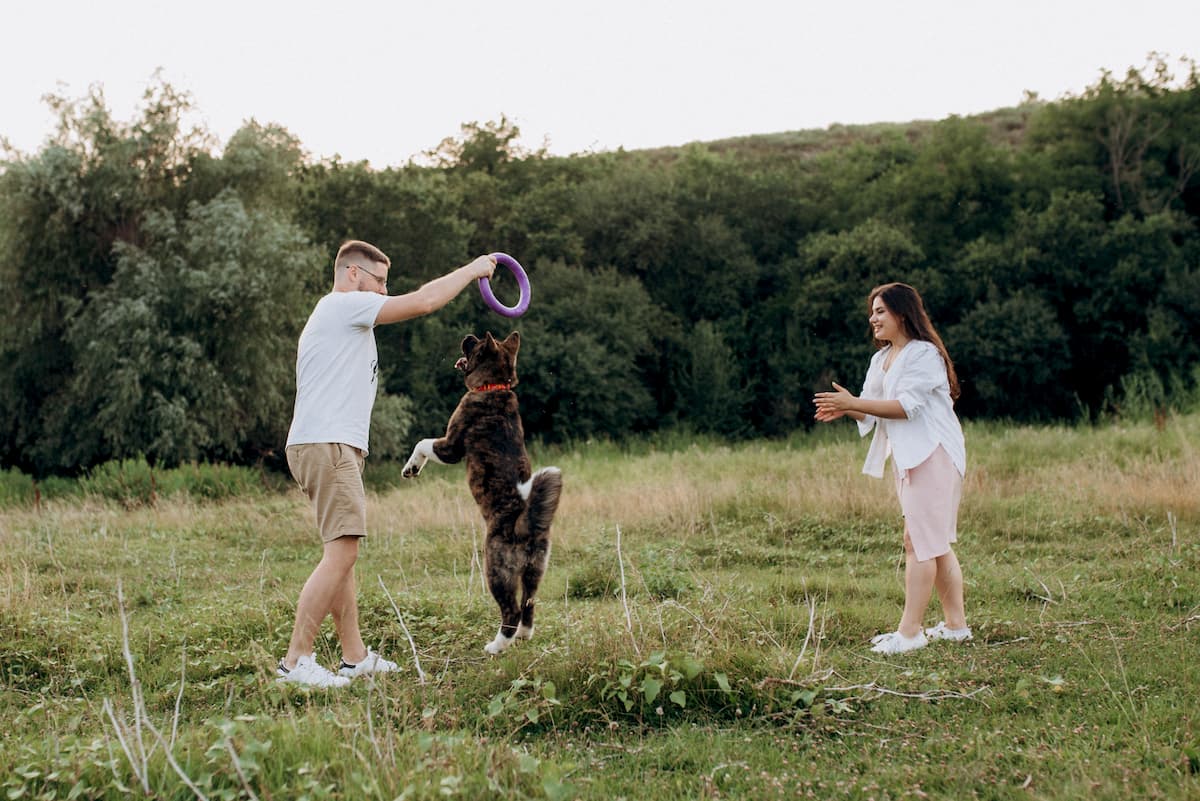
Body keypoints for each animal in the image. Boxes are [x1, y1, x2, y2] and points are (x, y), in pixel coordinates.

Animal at [398, 333, 556, 657]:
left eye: (479, 344)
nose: (468, 336)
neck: (494, 387)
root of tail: (528, 525)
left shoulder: (451, 446)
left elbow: (422, 443)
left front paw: (411, 468)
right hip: (534, 570)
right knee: (529, 604)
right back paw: (523, 635)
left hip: (496, 570)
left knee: (511, 610)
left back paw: (496, 646)